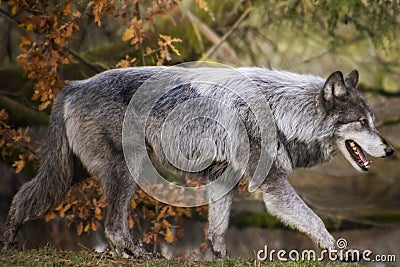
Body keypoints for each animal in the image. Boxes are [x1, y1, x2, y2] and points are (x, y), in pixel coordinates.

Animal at [2, 65, 394, 260]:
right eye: (361, 122)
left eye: (373, 121)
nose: (390, 151)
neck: (282, 111)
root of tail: (73, 85)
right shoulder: (272, 186)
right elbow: (315, 221)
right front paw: (342, 253)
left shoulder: (222, 180)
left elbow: (218, 226)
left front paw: (220, 256)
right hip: (126, 173)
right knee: (112, 227)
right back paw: (139, 254)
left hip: (68, 173)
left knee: (24, 196)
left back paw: (9, 242)